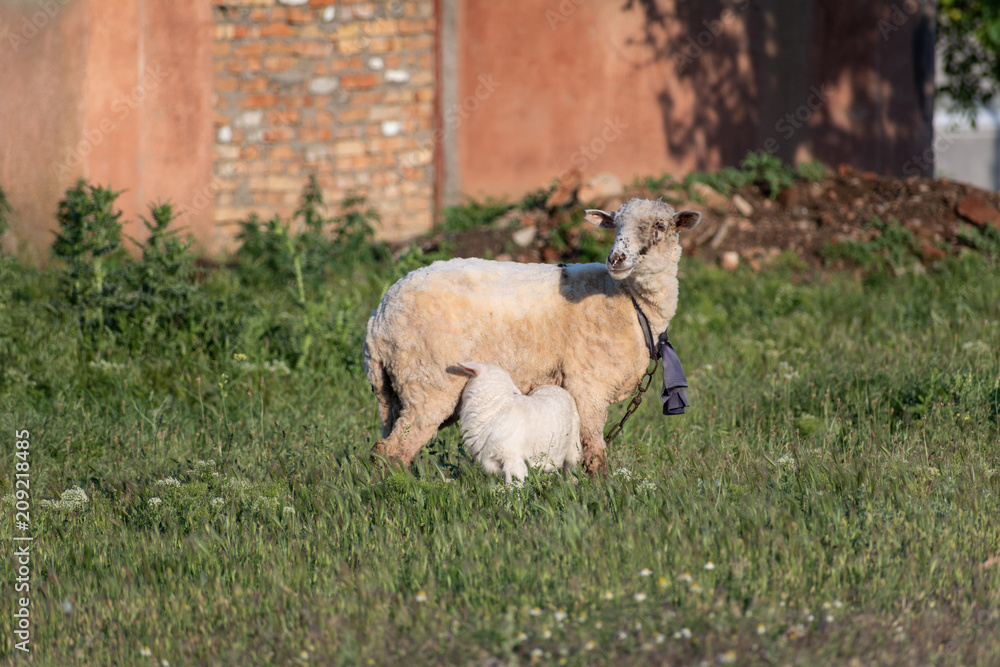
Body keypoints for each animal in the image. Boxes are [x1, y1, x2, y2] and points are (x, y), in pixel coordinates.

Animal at [363, 198, 701, 474]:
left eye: (660, 226)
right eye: (615, 225)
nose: (616, 258)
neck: (629, 302)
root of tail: (378, 319)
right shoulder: (589, 383)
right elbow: (594, 451)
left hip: (394, 390)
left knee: (385, 447)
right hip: (427, 380)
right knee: (392, 452)